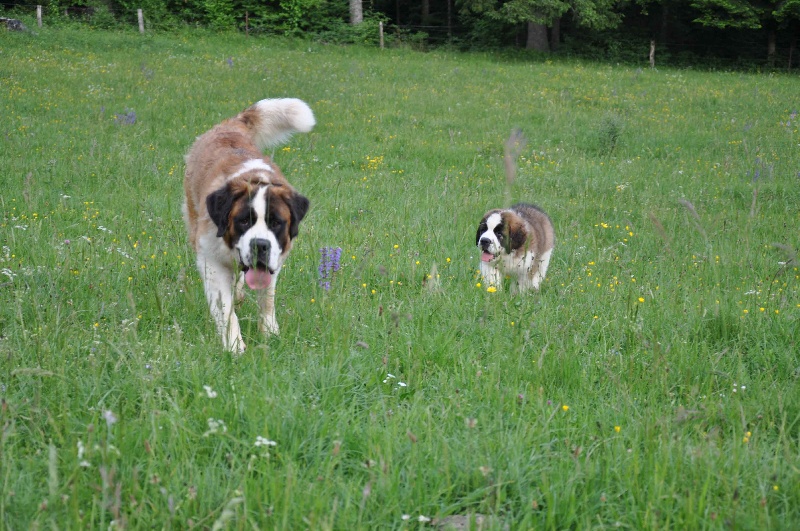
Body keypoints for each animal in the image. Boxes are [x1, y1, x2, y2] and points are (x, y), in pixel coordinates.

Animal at [183, 98, 314, 352]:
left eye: (276, 223)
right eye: (244, 221)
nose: (260, 245)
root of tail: (230, 125)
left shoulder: (275, 260)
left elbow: (267, 299)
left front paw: (270, 334)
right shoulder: (211, 261)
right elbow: (225, 310)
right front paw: (234, 347)